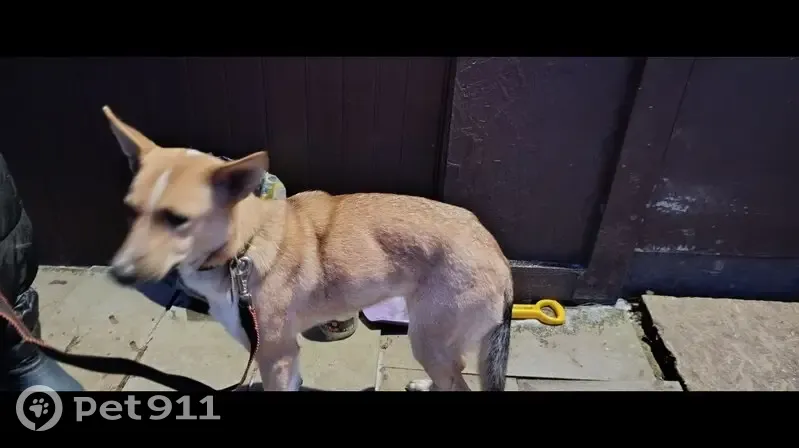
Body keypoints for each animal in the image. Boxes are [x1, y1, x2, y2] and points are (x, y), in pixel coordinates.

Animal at [101, 105, 514, 391]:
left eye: (177, 219)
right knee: (456, 373)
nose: (118, 274)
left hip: (427, 339)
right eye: (130, 210)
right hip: (435, 343)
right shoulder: (286, 354)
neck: (244, 245)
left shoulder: (274, 355)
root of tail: (497, 253)